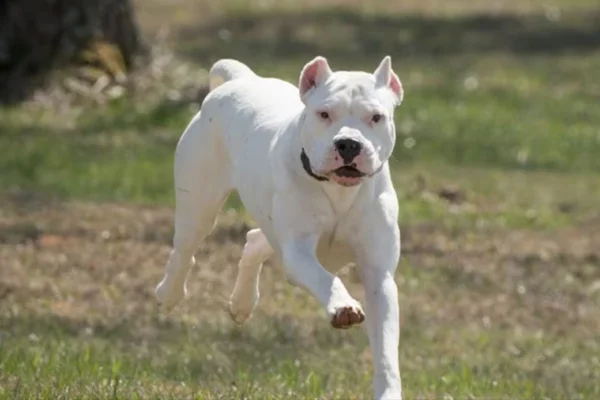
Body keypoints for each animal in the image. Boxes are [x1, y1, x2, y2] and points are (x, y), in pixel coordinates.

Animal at [155, 54, 406, 398]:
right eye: (324, 113)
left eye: (376, 117)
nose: (348, 144)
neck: (339, 191)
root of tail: (241, 79)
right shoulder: (299, 253)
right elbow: (325, 279)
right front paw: (342, 305)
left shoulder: (379, 274)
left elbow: (385, 349)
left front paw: (387, 389)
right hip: (199, 205)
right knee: (184, 251)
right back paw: (169, 294)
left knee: (254, 240)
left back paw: (242, 302)